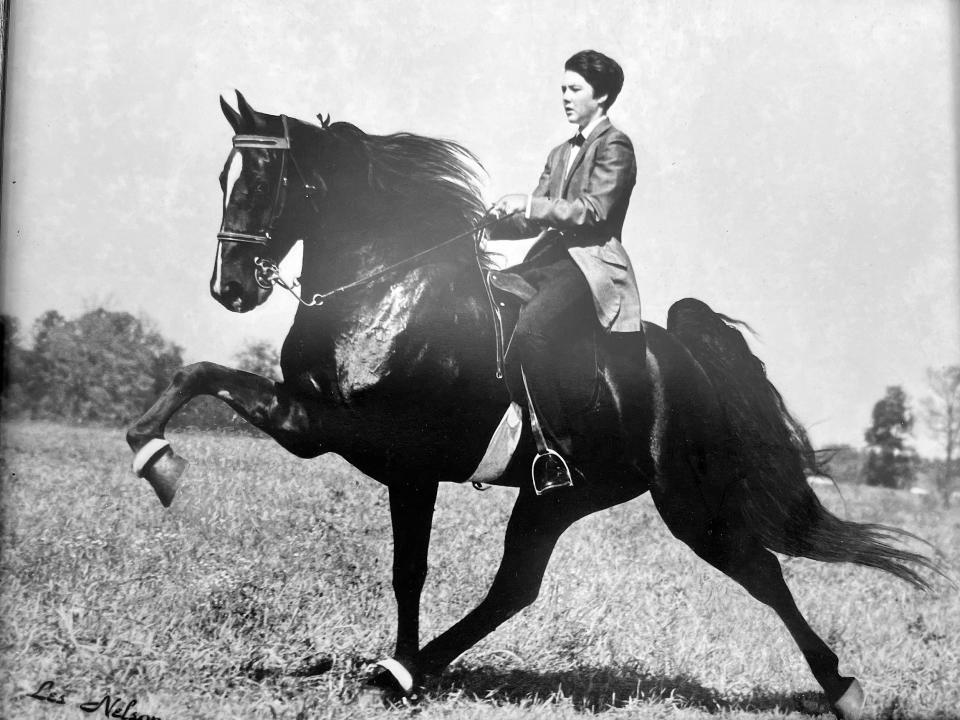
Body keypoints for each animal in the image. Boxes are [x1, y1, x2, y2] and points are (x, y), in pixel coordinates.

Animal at [125, 91, 936, 720]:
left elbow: (406, 564)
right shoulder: (340, 435)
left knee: (760, 570)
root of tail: (684, 355)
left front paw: (158, 460)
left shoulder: (360, 439)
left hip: (687, 501)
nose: (230, 288)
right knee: (517, 584)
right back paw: (410, 671)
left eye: (265, 178)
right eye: (225, 175)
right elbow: (202, 373)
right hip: (563, 496)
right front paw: (148, 447)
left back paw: (845, 690)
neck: (388, 289)